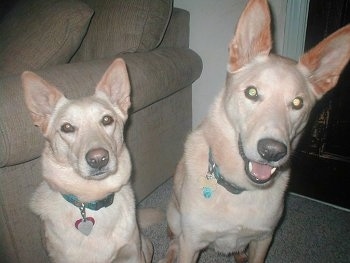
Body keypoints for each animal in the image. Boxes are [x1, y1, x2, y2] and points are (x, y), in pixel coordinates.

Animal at [22, 58, 161, 263]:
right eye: (67, 127)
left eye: (107, 120)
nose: (98, 159)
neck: (92, 201)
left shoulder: (133, 253)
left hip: (146, 245)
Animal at [160, 0, 350, 263]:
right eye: (251, 92)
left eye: (298, 103)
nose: (272, 151)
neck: (239, 188)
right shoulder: (192, 243)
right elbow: (184, 245)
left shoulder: (263, 239)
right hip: (174, 217)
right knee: (173, 240)